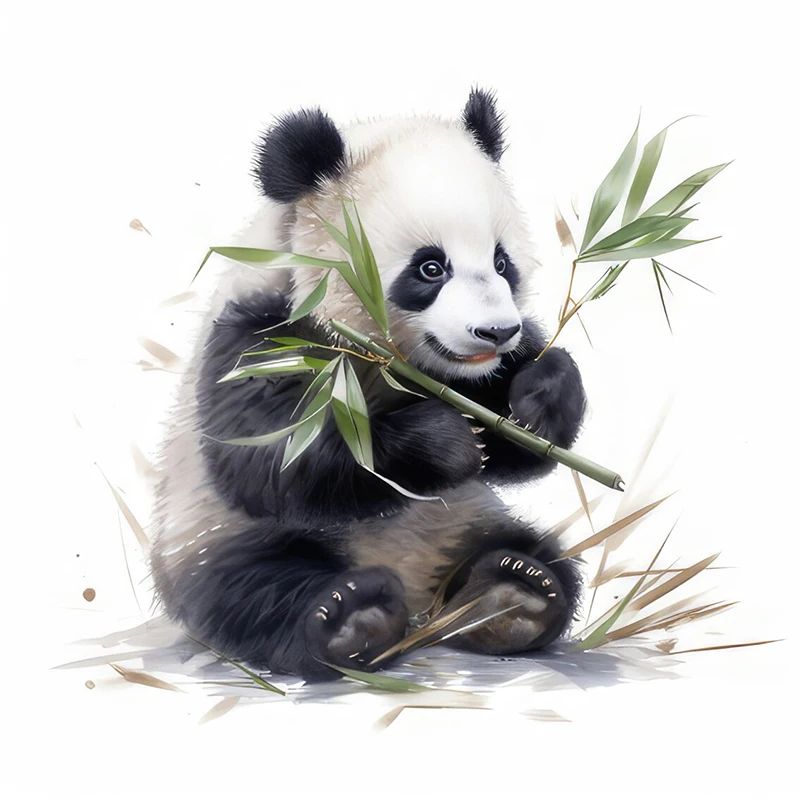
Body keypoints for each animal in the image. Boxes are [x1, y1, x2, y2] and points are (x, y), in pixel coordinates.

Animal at [151, 88, 587, 681]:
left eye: (502, 262)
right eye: (430, 268)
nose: (496, 333)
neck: (379, 356)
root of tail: (421, 600)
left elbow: (515, 445)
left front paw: (537, 400)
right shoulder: (259, 330)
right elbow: (275, 455)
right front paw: (444, 443)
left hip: (464, 521)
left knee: (534, 553)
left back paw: (512, 593)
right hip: (210, 538)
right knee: (253, 589)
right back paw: (351, 618)